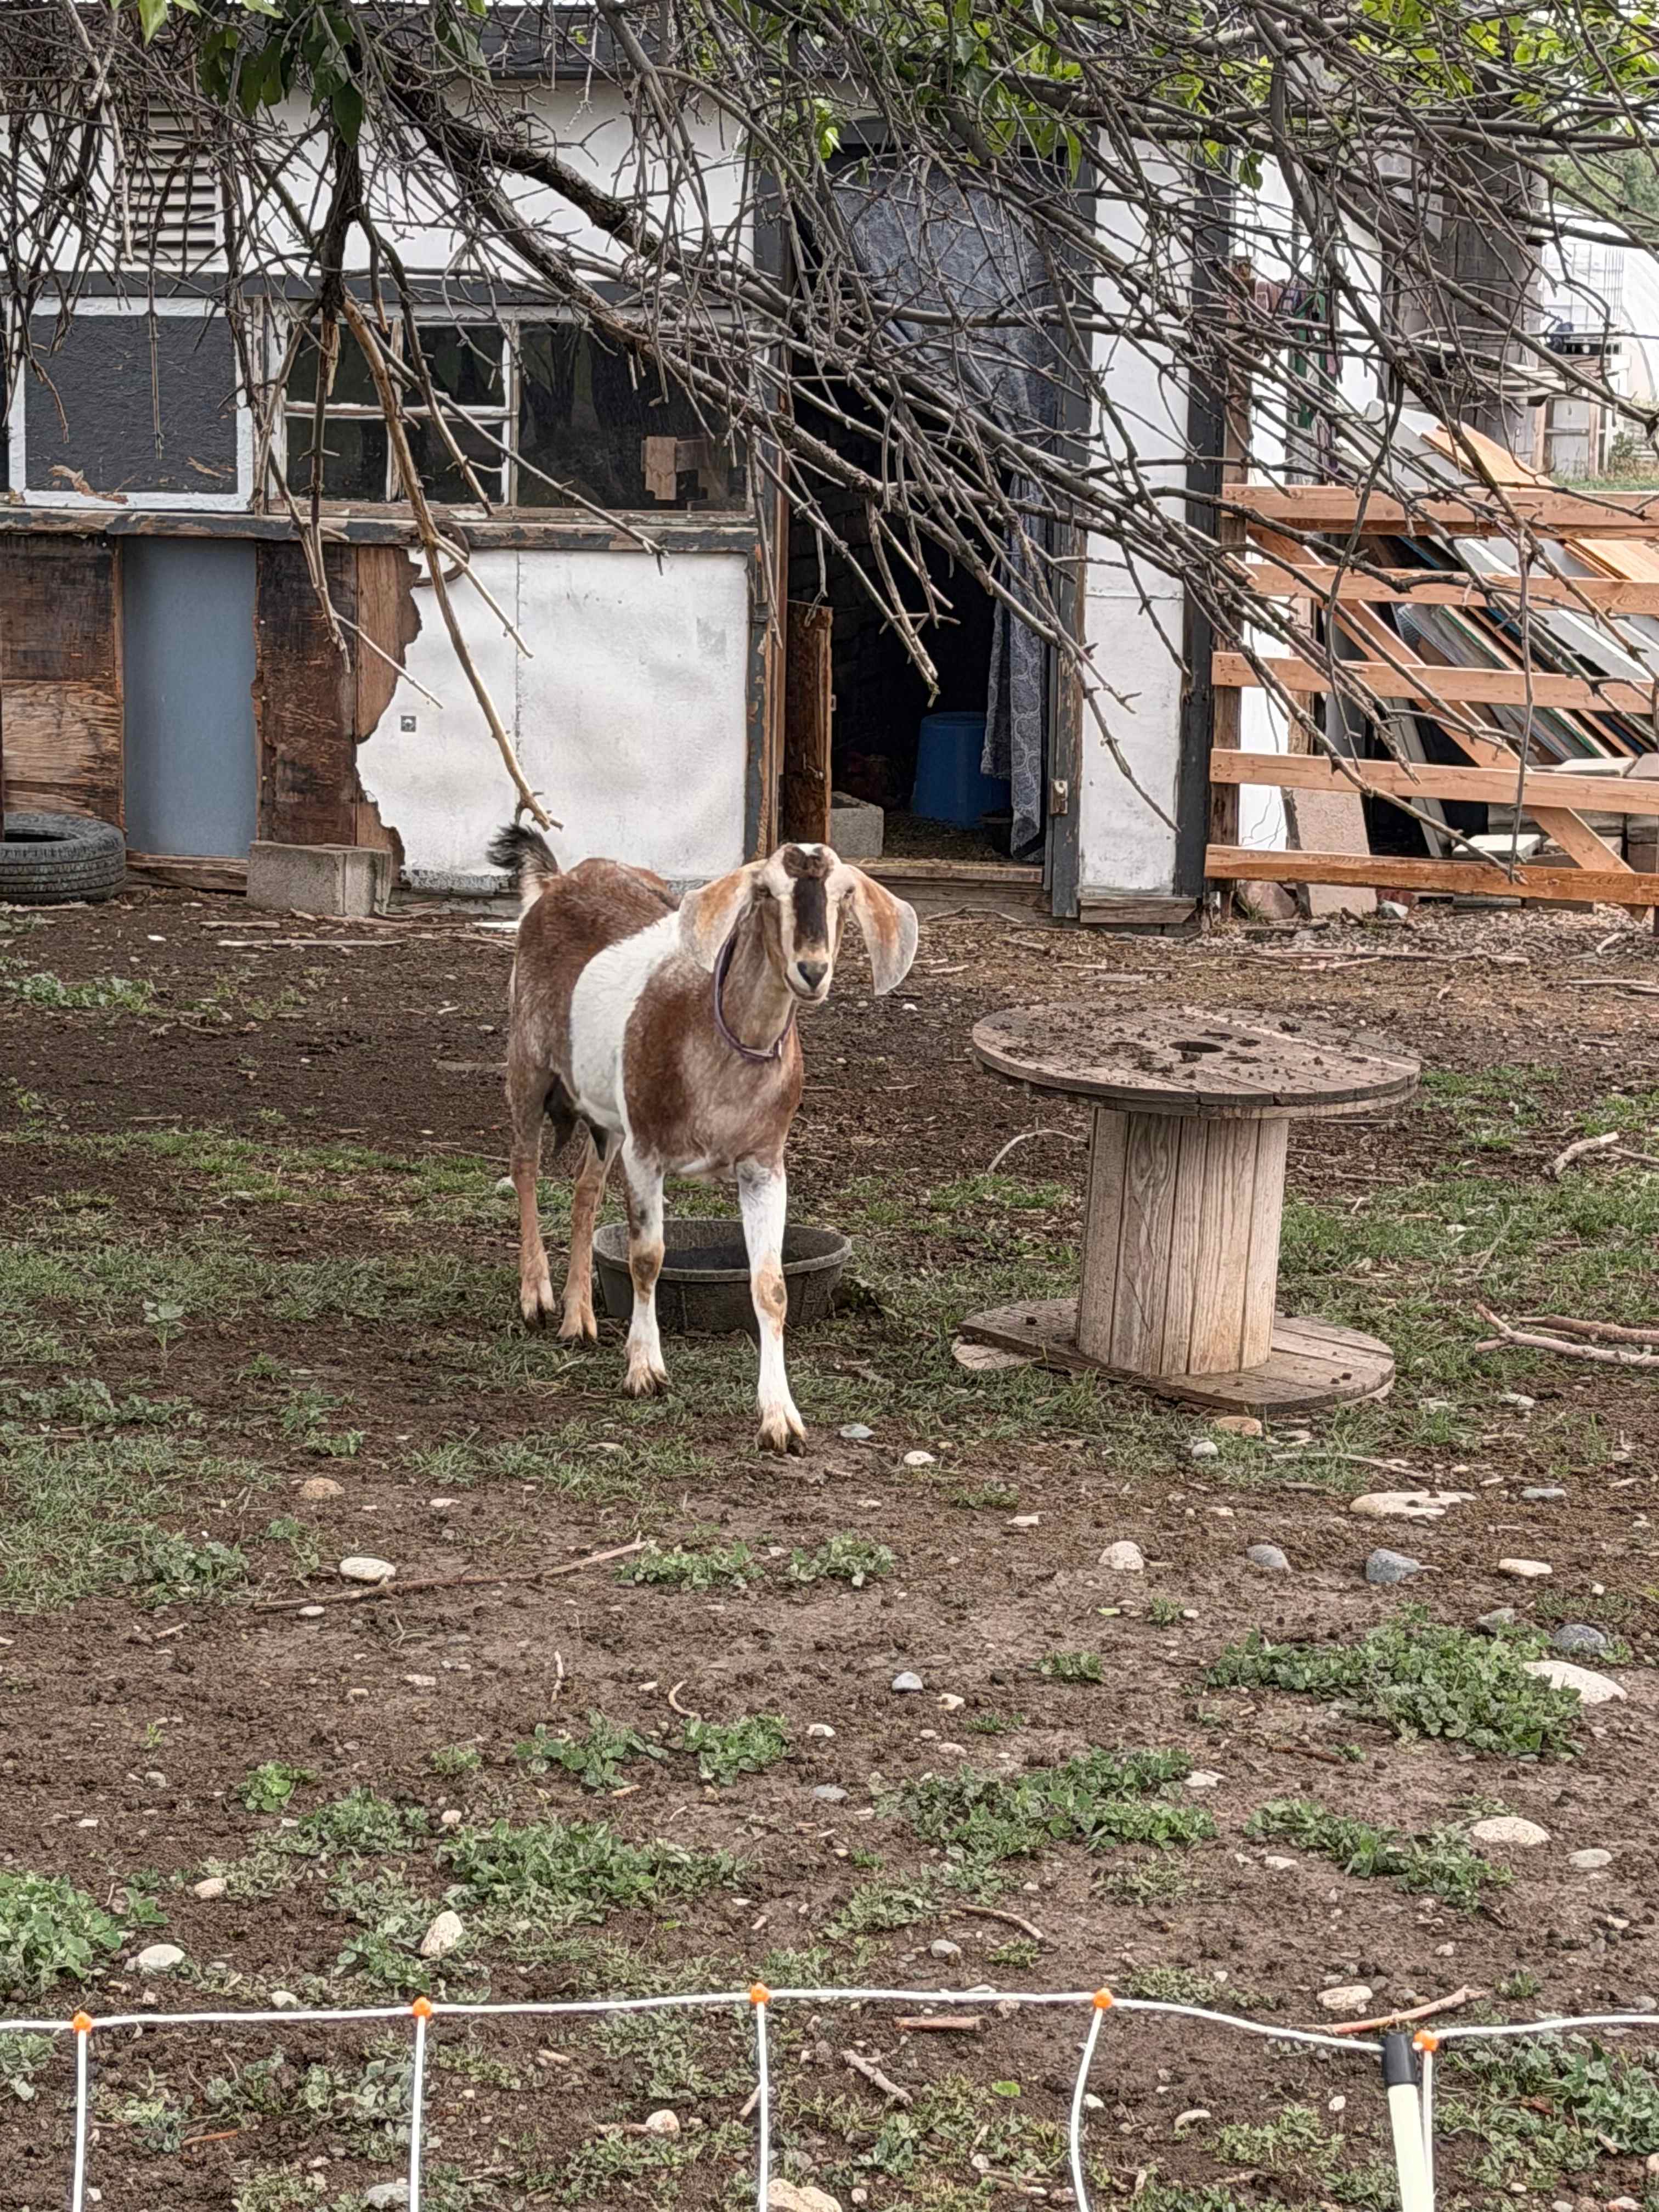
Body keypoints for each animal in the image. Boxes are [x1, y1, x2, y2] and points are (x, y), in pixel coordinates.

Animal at [487, 827, 918, 1453]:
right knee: (524, 1166)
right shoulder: (647, 1153)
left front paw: (780, 1419)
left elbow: (771, 1287)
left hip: (606, 1117)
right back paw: (536, 1298)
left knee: (585, 1192)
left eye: (843, 894)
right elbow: (647, 1258)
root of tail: (558, 881)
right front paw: (645, 1370)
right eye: (765, 891)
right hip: (528, 1061)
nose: (811, 970)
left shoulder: (764, 1164)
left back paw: (578, 1319)